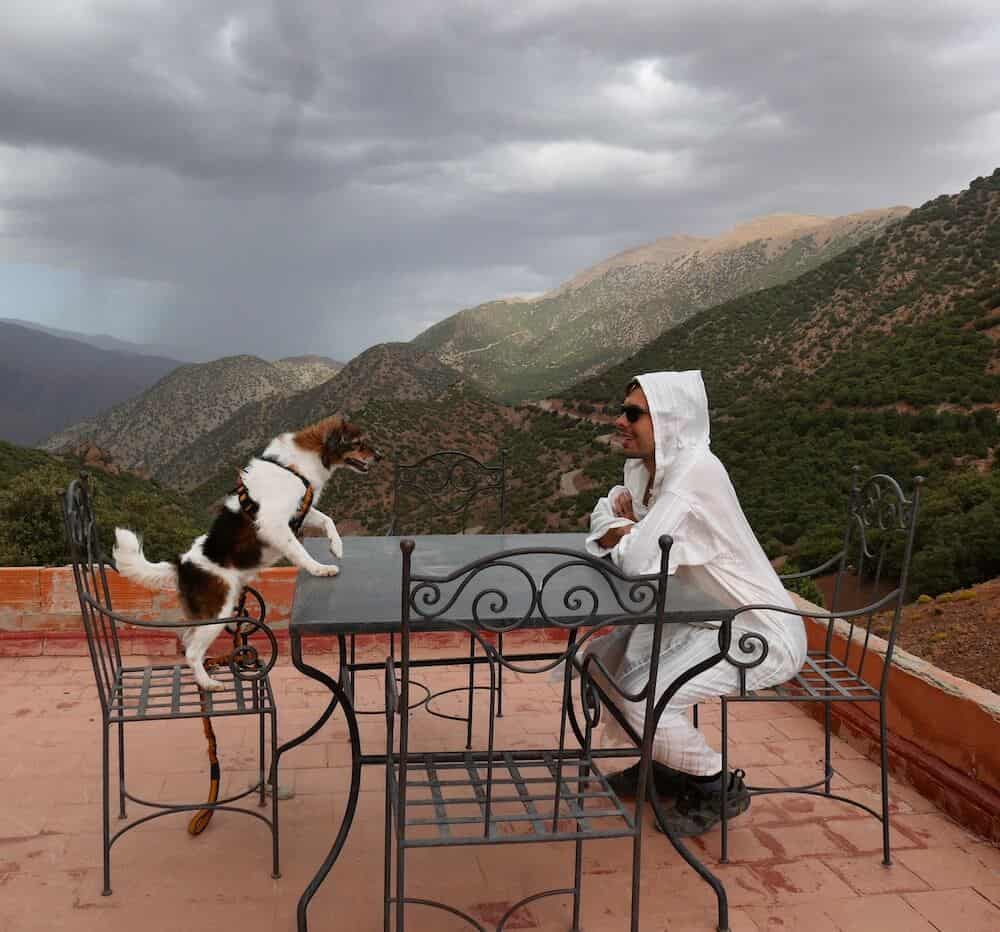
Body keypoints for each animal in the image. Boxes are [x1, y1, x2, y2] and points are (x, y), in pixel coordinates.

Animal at [113, 416, 382, 692]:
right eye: (358, 443)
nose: (380, 457)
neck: (297, 466)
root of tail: (182, 564)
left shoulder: (299, 512)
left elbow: (328, 520)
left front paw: (336, 546)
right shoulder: (274, 523)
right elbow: (300, 550)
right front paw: (320, 568)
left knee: (187, 640)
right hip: (217, 612)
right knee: (192, 651)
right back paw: (208, 683)